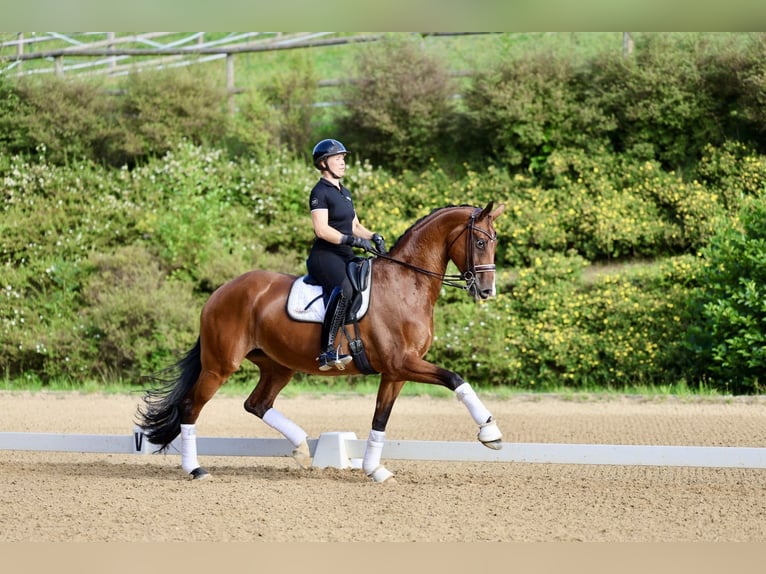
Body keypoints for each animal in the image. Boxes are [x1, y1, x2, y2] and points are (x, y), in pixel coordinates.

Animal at [136, 200, 510, 484]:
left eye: (494, 241)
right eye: (480, 242)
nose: (487, 291)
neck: (406, 284)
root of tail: (219, 293)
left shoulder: (395, 372)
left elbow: (380, 420)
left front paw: (375, 470)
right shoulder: (402, 363)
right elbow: (456, 379)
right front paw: (490, 433)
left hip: (277, 366)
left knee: (256, 404)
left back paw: (302, 448)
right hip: (220, 365)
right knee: (191, 407)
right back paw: (196, 469)